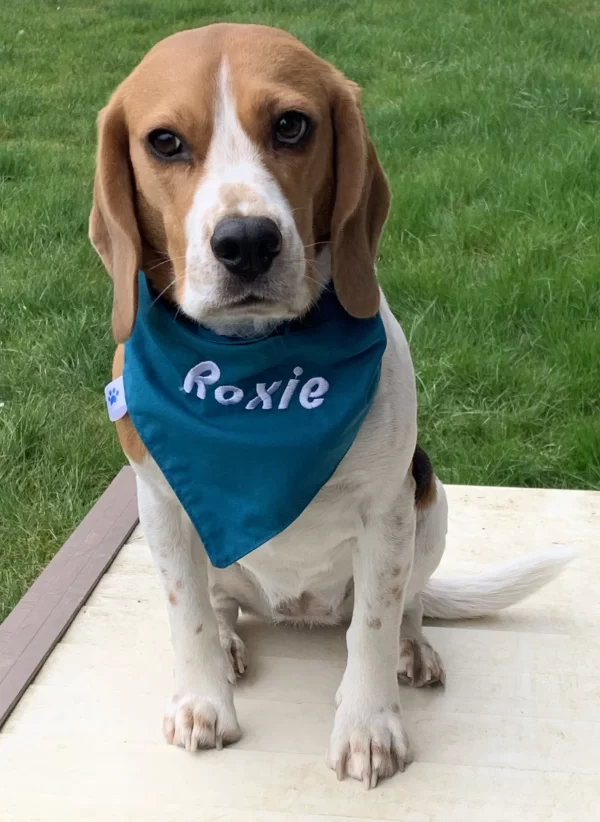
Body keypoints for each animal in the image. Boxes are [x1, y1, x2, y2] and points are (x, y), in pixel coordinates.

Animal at [91, 22, 576, 788]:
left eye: (292, 125)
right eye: (164, 142)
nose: (246, 242)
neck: (256, 371)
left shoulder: (386, 511)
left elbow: (371, 627)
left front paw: (369, 726)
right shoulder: (160, 504)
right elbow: (185, 613)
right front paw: (203, 701)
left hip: (430, 503)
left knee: (406, 606)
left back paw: (411, 647)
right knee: (219, 600)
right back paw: (230, 638)